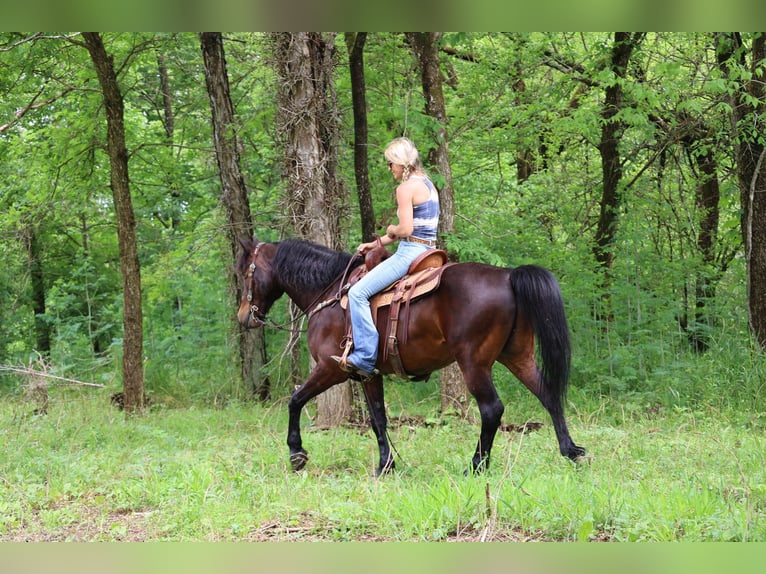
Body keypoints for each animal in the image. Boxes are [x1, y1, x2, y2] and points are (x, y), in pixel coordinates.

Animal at [237, 236, 584, 474]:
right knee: (549, 396)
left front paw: (296, 453)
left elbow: (295, 400)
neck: (331, 293)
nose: (243, 316)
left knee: (492, 409)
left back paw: (476, 465)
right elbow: (378, 418)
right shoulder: (368, 374)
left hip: (474, 363)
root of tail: (508, 276)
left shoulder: (330, 368)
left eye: (244, 274)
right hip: (517, 356)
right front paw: (386, 465)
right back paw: (571, 451)